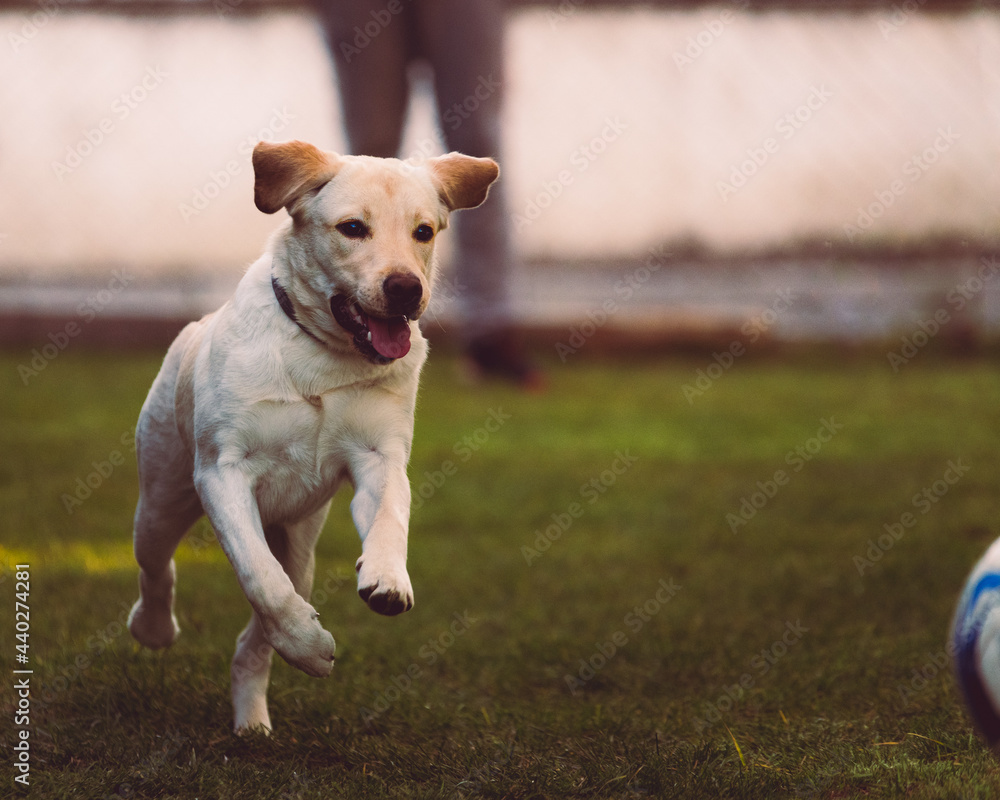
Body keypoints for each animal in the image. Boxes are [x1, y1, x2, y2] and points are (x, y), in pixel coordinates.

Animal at [126, 139, 500, 732]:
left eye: (423, 231)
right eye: (352, 228)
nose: (405, 288)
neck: (323, 356)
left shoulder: (379, 456)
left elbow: (389, 518)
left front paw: (387, 579)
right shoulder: (222, 471)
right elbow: (260, 579)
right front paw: (310, 646)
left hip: (300, 546)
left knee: (256, 639)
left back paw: (252, 720)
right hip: (161, 499)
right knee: (157, 568)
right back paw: (155, 629)